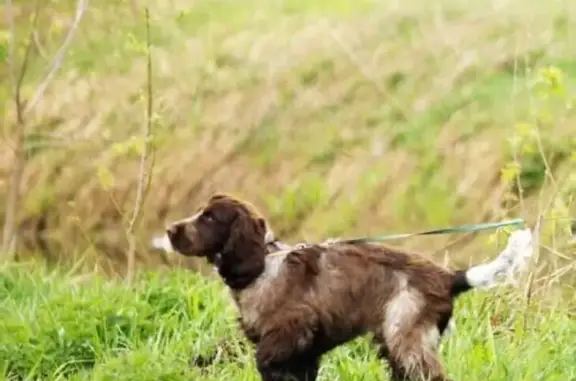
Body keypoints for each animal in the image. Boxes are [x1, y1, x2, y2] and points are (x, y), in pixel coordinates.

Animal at [153, 193, 532, 380]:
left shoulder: (290, 334)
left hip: (407, 337)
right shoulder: (305, 353)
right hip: (396, 344)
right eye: (199, 211)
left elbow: (266, 362)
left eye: (210, 218)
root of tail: (449, 277)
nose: (170, 230)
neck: (264, 265)